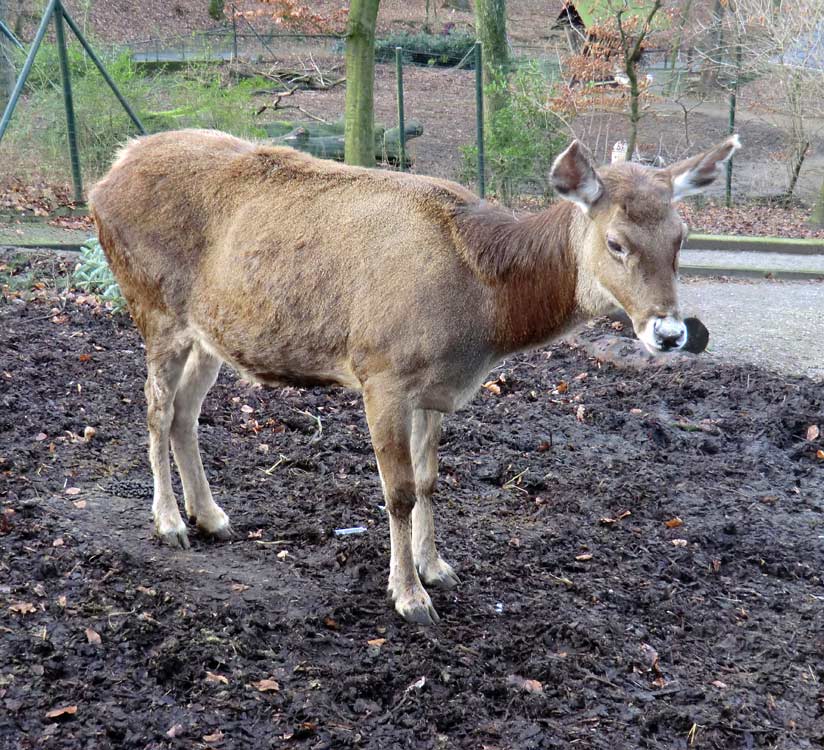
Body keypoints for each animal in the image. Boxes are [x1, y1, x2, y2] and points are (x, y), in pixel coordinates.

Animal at [90, 132, 740, 624]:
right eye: (616, 242)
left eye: (682, 238)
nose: (671, 333)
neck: (481, 320)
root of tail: (104, 178)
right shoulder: (382, 372)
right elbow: (398, 491)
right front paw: (408, 597)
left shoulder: (436, 390)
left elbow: (430, 481)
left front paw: (437, 568)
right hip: (153, 304)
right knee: (154, 408)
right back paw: (169, 524)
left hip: (211, 332)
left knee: (185, 411)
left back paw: (212, 516)